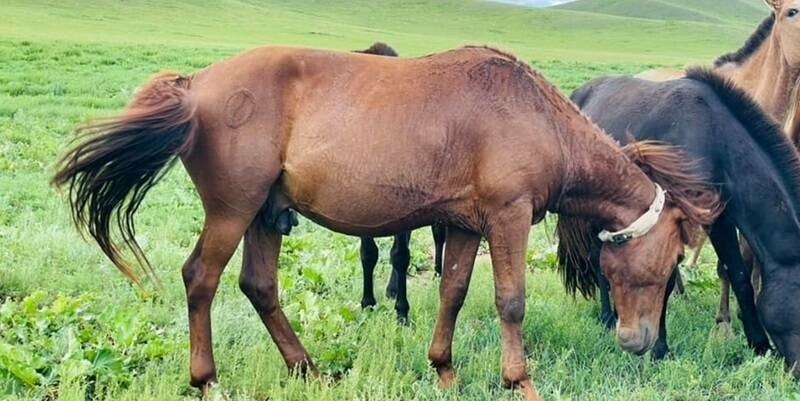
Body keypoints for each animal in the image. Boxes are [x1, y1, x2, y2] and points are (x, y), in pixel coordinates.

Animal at [51, 45, 712, 398]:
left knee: (259, 287)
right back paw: (208, 380)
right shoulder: (508, 217)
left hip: (265, 214)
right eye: (669, 267)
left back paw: (308, 369)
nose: (639, 342)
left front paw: (444, 370)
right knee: (201, 281)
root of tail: (195, 85)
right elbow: (510, 301)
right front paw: (519, 381)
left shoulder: (465, 224)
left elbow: (452, 293)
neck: (534, 115)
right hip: (233, 211)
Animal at [564, 66, 800, 372]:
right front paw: (660, 350)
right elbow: (664, 280)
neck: (712, 137)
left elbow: (739, 275)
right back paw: (607, 317)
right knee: (596, 259)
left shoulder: (720, 216)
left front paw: (759, 345)